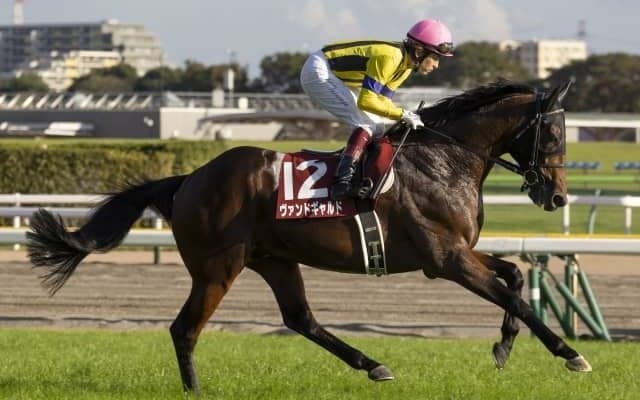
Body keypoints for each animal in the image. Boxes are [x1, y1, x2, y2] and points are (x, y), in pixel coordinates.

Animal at [26, 80, 591, 393]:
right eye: (553, 133)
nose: (557, 198)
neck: (445, 158)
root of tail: (187, 179)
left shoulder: (456, 253)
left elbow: (514, 277)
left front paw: (503, 348)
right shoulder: (444, 258)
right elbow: (516, 298)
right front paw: (570, 354)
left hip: (274, 258)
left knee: (300, 318)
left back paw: (373, 365)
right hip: (218, 266)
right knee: (185, 329)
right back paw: (195, 390)